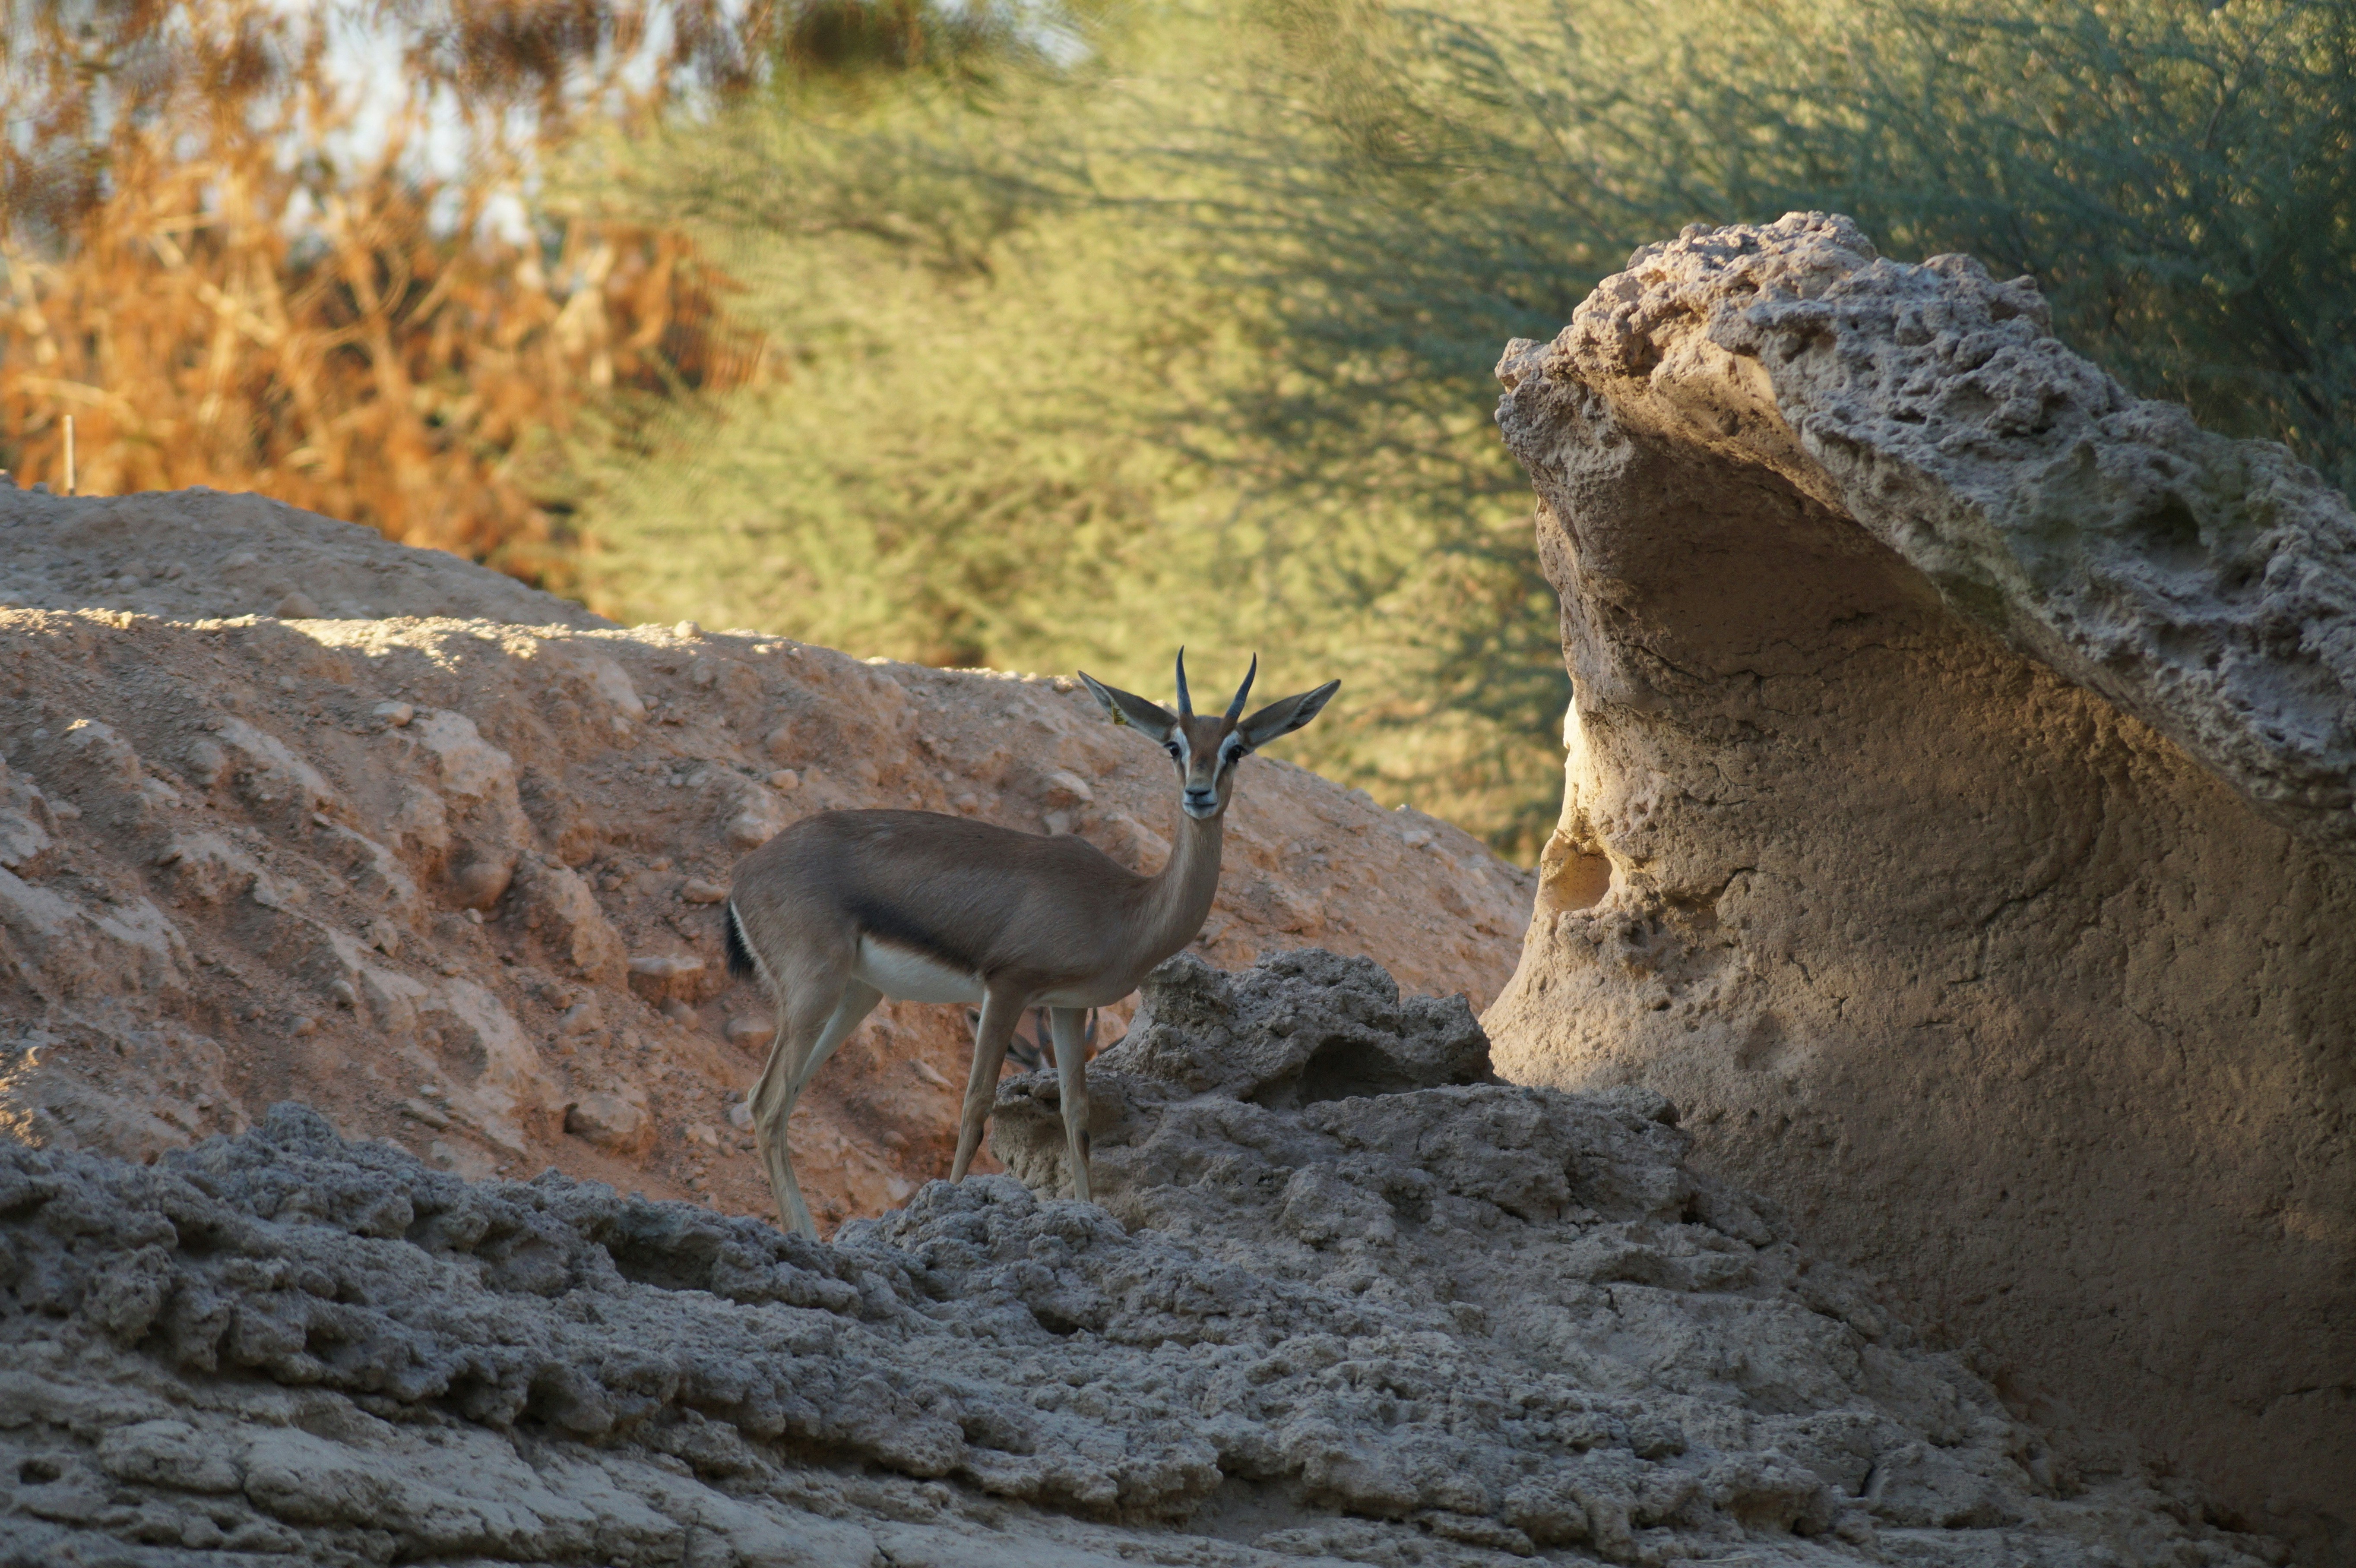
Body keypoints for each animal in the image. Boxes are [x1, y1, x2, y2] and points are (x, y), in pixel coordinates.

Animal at [723, 652, 1339, 1236]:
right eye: (1173, 745)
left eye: (1237, 749)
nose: (1198, 794)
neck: (1123, 907)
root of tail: (746, 872)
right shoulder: (1008, 987)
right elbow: (975, 1104)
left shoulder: (1066, 1008)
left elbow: (1077, 1113)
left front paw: (1091, 1214)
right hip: (814, 989)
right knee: (765, 1101)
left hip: (856, 994)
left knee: (785, 1097)